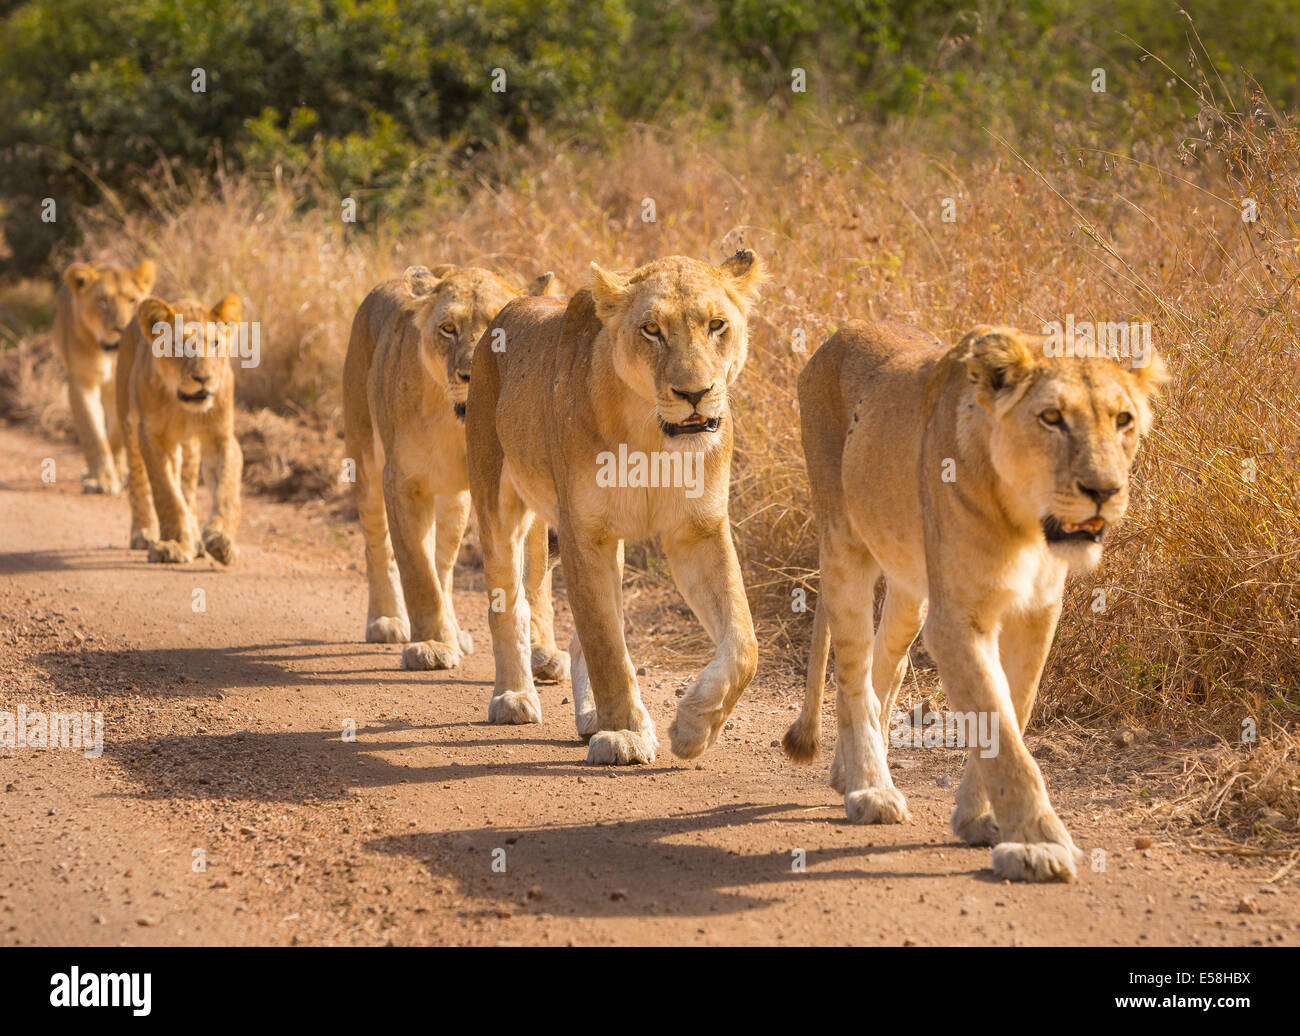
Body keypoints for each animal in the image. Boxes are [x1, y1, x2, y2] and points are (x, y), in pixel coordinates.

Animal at [52, 257, 157, 493]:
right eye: (103, 301)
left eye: (132, 300)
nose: (121, 329)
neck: (109, 351)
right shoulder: (82, 382)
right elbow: (92, 432)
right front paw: (102, 479)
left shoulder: (122, 384)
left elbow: (115, 435)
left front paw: (117, 474)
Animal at [115, 291, 244, 566]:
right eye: (178, 346)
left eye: (215, 343)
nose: (203, 378)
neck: (183, 407)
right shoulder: (151, 436)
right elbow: (167, 494)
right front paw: (173, 545)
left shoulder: (221, 438)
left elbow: (226, 491)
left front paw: (221, 541)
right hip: (129, 424)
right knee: (139, 481)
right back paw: (144, 533)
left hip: (188, 448)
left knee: (188, 492)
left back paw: (196, 542)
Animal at [343, 262, 566, 675]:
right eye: (448, 328)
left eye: (497, 330)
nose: (471, 373)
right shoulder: (403, 481)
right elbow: (417, 571)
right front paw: (430, 645)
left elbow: (533, 576)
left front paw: (541, 649)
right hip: (364, 459)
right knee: (378, 545)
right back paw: (387, 620)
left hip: (455, 500)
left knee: (444, 565)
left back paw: (455, 631)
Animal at [467, 250, 764, 764]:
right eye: (652, 330)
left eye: (717, 325)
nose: (694, 394)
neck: (652, 434)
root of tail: (509, 308)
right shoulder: (584, 532)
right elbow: (606, 645)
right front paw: (625, 734)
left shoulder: (698, 529)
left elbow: (743, 642)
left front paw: (694, 725)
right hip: (497, 504)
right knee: (510, 603)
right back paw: (514, 698)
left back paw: (589, 717)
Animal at [785, 321, 1175, 878]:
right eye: (1051, 418)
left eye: (1123, 420)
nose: (1103, 490)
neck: (1025, 521)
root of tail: (842, 332)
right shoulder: (957, 619)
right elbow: (1000, 726)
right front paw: (1037, 843)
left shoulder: (1037, 611)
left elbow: (1014, 707)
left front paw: (979, 817)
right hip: (842, 543)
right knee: (852, 669)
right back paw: (870, 789)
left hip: (910, 588)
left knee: (885, 663)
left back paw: (847, 771)